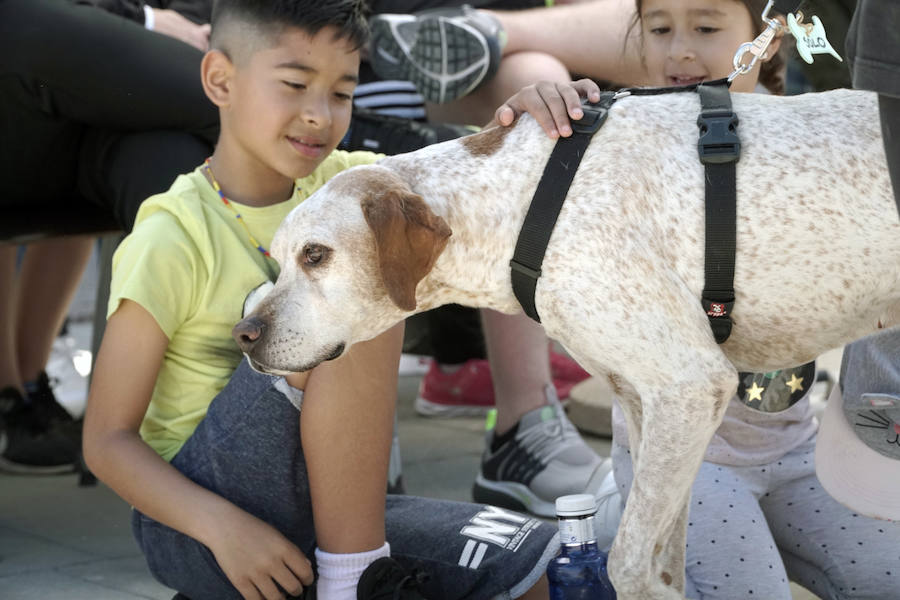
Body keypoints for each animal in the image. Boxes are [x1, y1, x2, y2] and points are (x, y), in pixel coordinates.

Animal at [234, 90, 900, 600]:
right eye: (280, 257)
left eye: (316, 255)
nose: (244, 333)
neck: (522, 203)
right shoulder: (648, 404)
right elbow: (664, 563)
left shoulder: (689, 387)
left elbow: (627, 563)